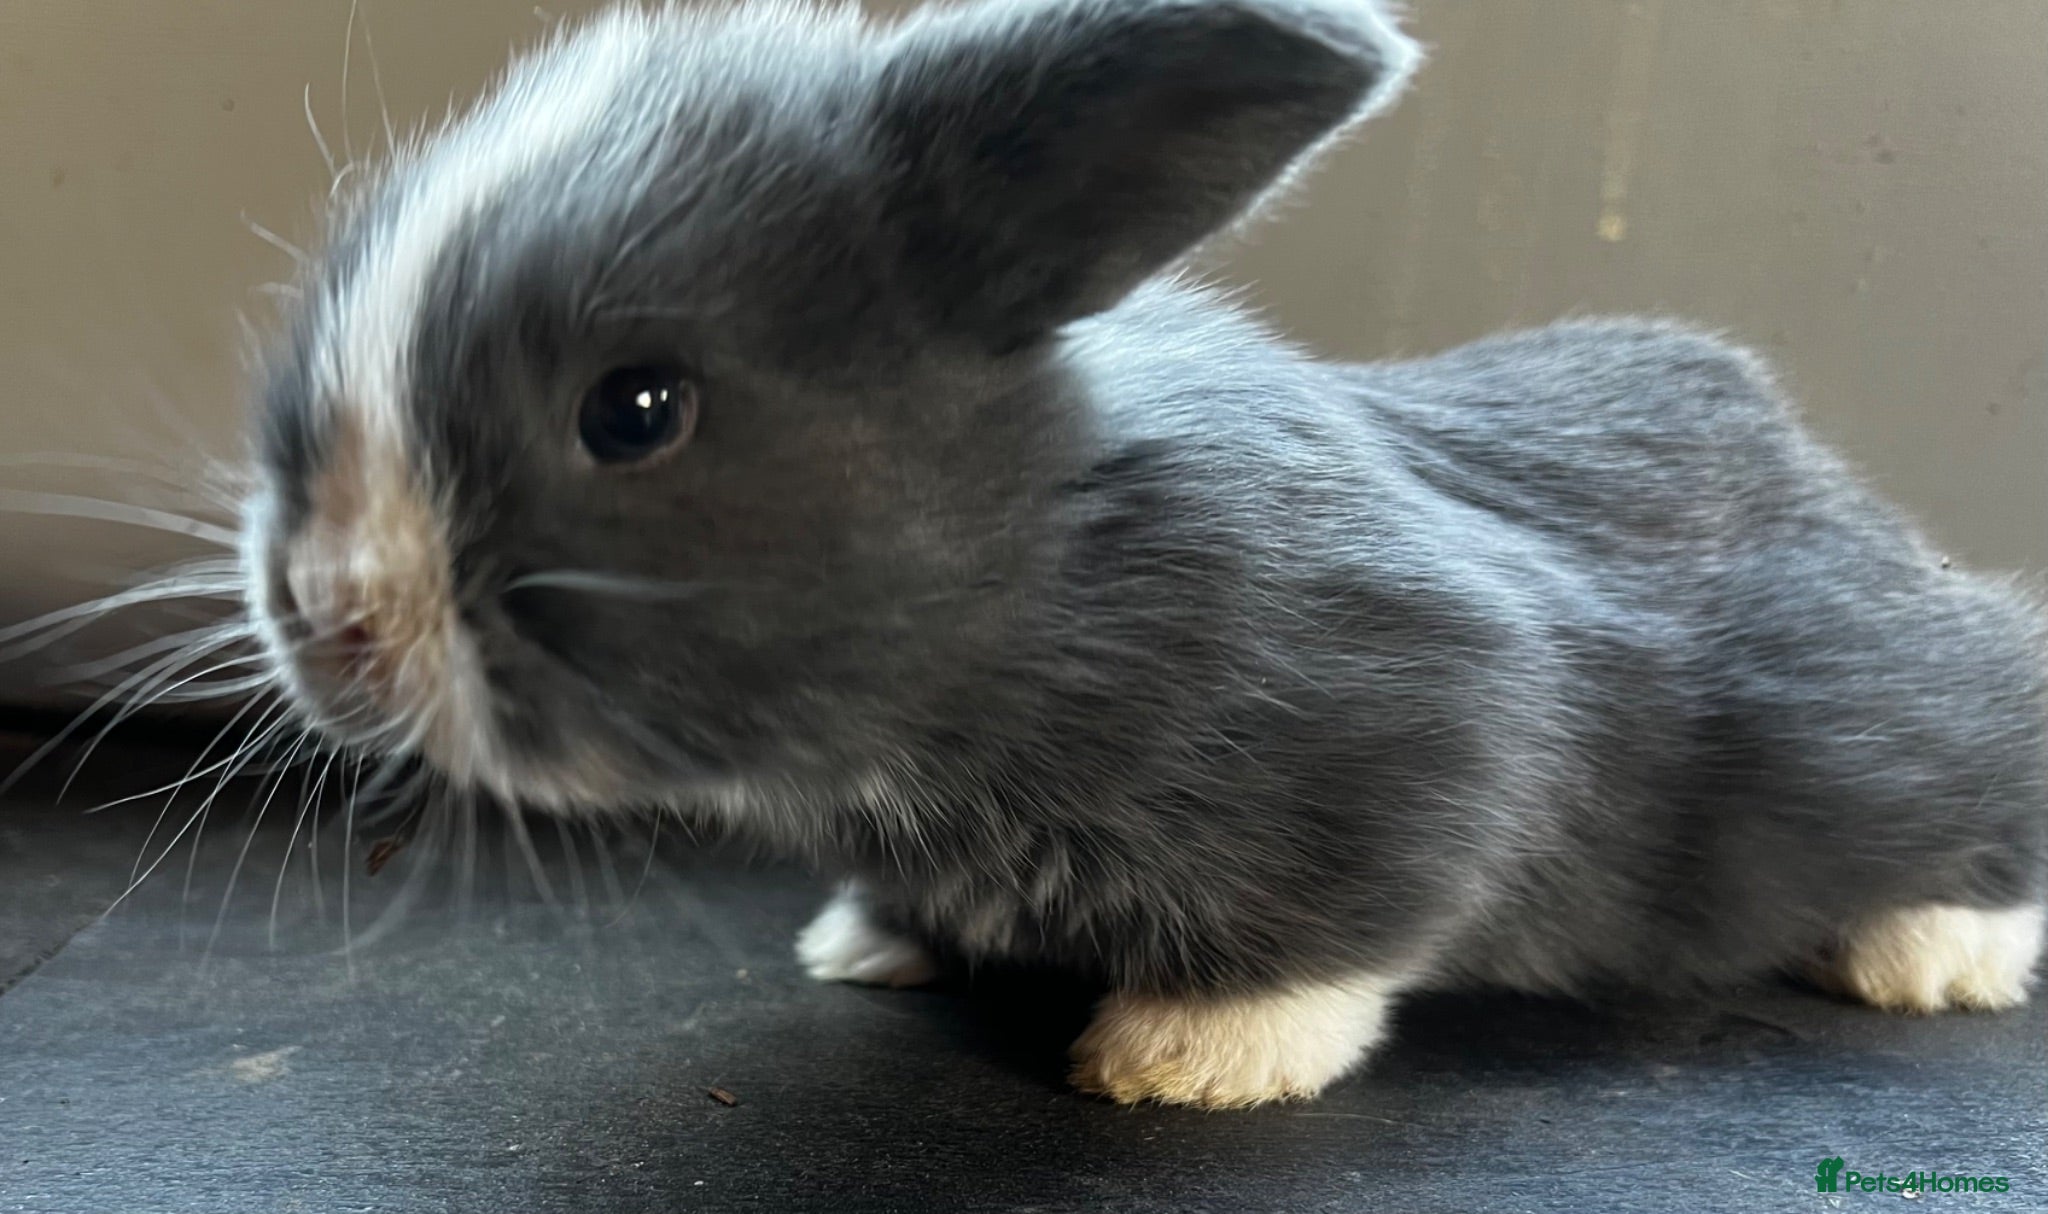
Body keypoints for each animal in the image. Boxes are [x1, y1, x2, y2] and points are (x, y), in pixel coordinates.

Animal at [240, 0, 2048, 1109]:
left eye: (636, 407)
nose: (333, 620)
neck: (1047, 558)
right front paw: (869, 941)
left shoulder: (1439, 711)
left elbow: (1356, 915)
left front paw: (1184, 1057)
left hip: (1884, 717)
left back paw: (1932, 955)